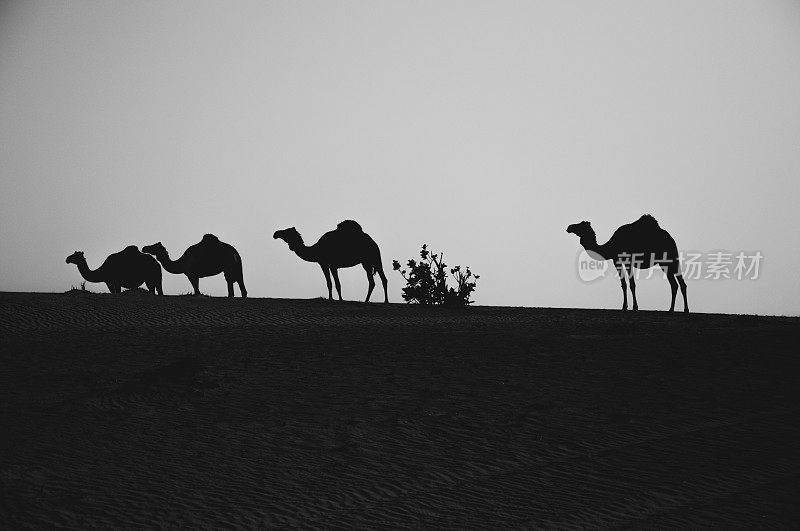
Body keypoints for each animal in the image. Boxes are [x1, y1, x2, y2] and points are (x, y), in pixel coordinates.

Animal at [564, 215, 692, 314]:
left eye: (581, 225)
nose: (569, 227)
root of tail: (671, 238)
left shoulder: (629, 260)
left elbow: (632, 284)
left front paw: (635, 307)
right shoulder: (616, 261)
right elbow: (623, 284)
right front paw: (624, 307)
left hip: (671, 256)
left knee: (681, 283)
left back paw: (686, 310)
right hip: (664, 262)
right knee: (674, 284)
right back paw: (671, 309)